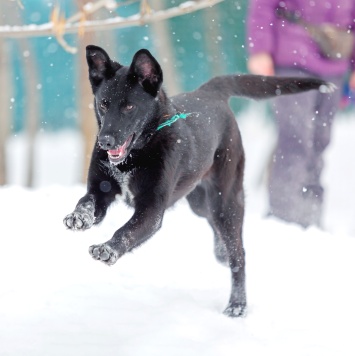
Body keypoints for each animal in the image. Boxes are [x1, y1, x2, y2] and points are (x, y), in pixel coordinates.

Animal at [63, 45, 334, 318]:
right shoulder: (101, 191)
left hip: (225, 201)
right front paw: (79, 216)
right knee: (215, 226)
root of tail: (210, 92)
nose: (105, 141)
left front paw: (108, 248)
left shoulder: (152, 210)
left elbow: (127, 230)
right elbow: (87, 202)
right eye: (104, 104)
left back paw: (237, 304)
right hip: (199, 202)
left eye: (129, 107)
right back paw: (221, 252)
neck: (139, 152)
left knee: (239, 252)